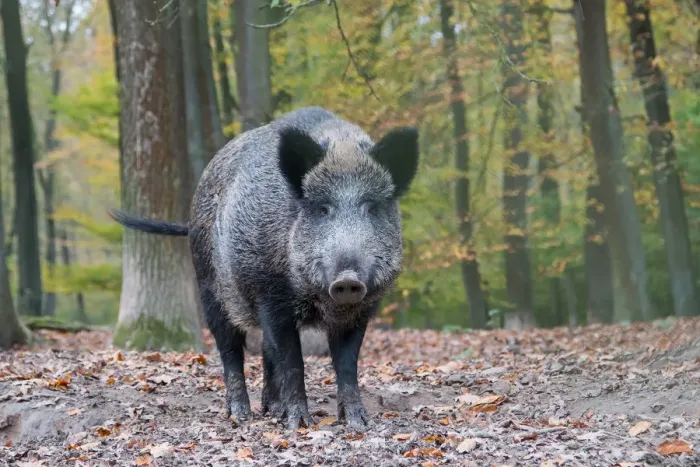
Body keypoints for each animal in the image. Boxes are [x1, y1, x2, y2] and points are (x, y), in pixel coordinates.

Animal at [109, 106, 419, 430]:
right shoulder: (270, 294)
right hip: (210, 287)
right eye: (322, 208)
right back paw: (240, 414)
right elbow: (293, 362)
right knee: (231, 350)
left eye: (372, 207)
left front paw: (358, 423)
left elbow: (346, 365)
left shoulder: (360, 310)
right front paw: (299, 424)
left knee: (267, 351)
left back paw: (271, 410)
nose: (347, 279)